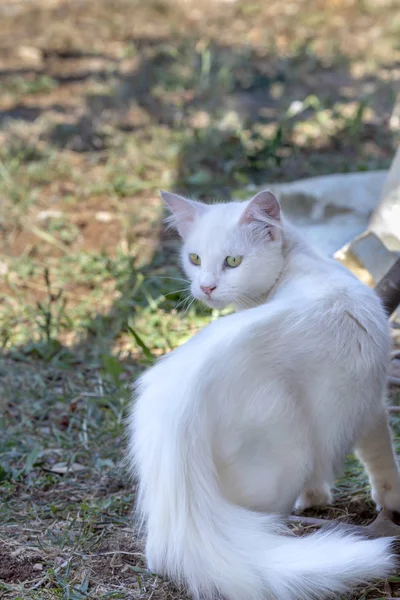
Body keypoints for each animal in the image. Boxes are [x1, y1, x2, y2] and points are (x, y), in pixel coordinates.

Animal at [127, 191, 400, 600]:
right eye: (195, 259)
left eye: (232, 261)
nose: (205, 287)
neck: (303, 261)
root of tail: (182, 410)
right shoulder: (368, 405)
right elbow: (382, 465)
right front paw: (382, 502)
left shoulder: (365, 404)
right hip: (288, 455)